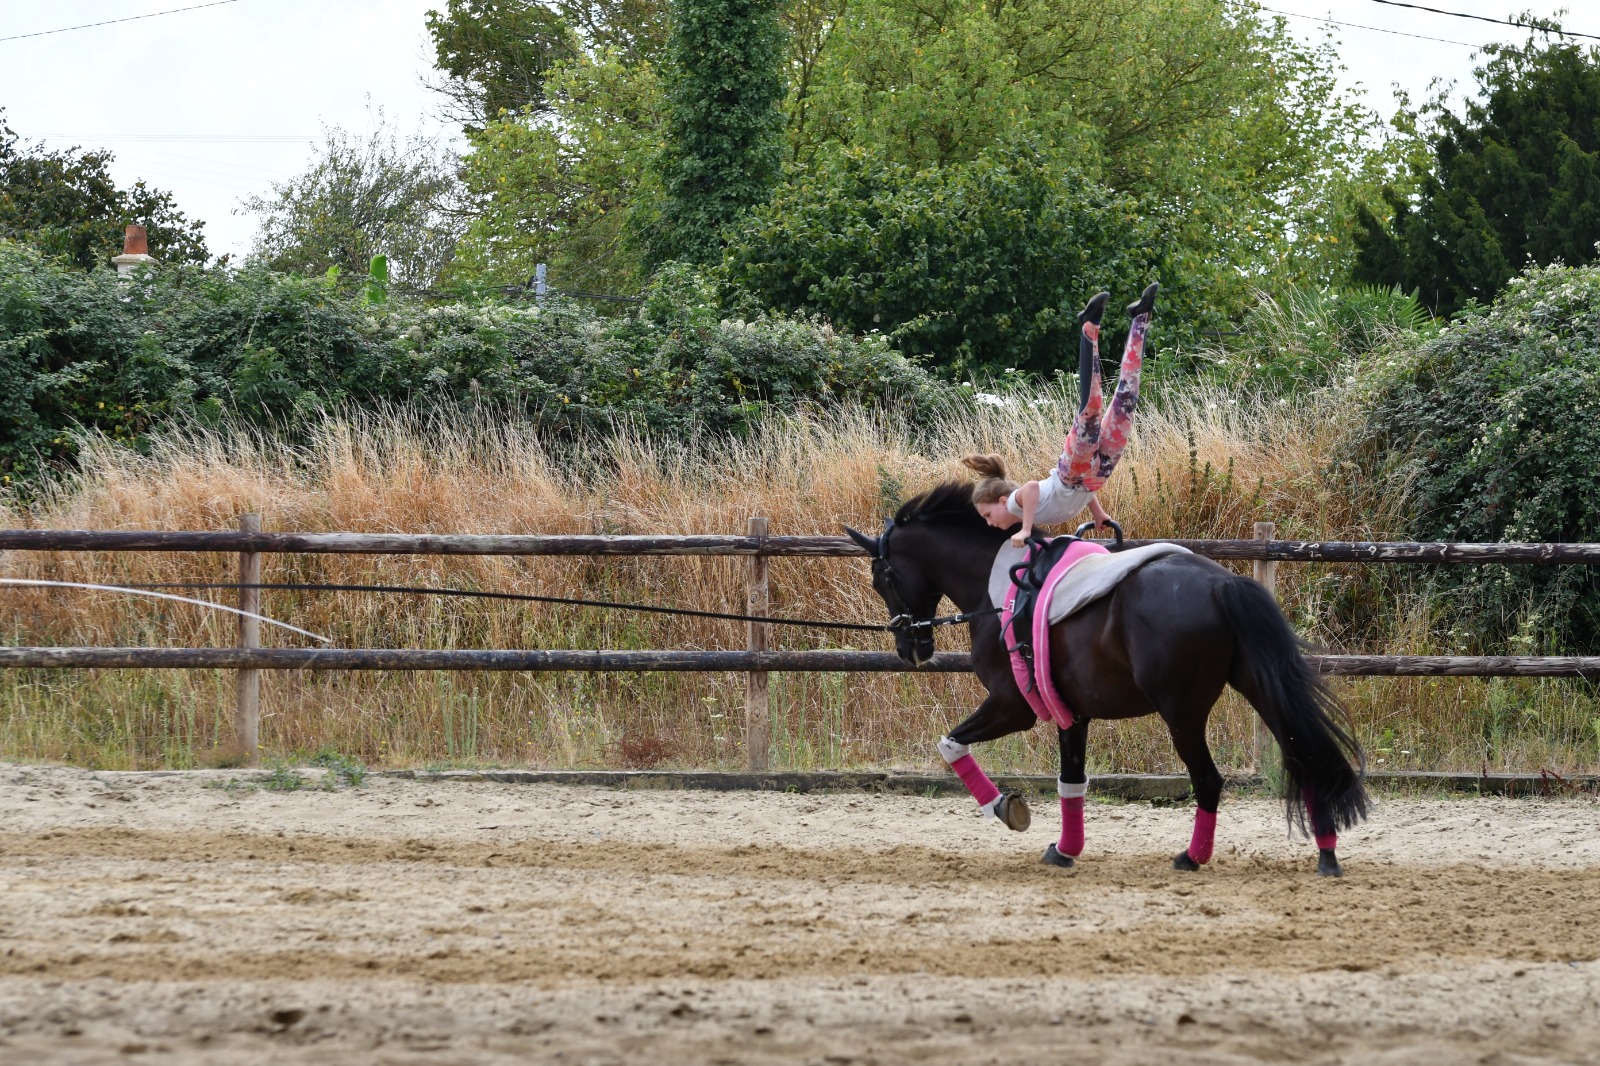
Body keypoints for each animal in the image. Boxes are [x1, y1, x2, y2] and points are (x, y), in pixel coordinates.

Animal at [844, 486, 1369, 877]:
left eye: (880, 579)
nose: (910, 648)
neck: (998, 591)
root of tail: (1222, 582)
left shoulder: (1013, 706)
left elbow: (950, 744)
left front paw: (1004, 808)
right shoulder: (1071, 714)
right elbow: (1071, 782)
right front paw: (1065, 850)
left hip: (1182, 712)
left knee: (1209, 779)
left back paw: (1192, 857)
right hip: (1258, 685)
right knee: (1306, 753)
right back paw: (1326, 852)